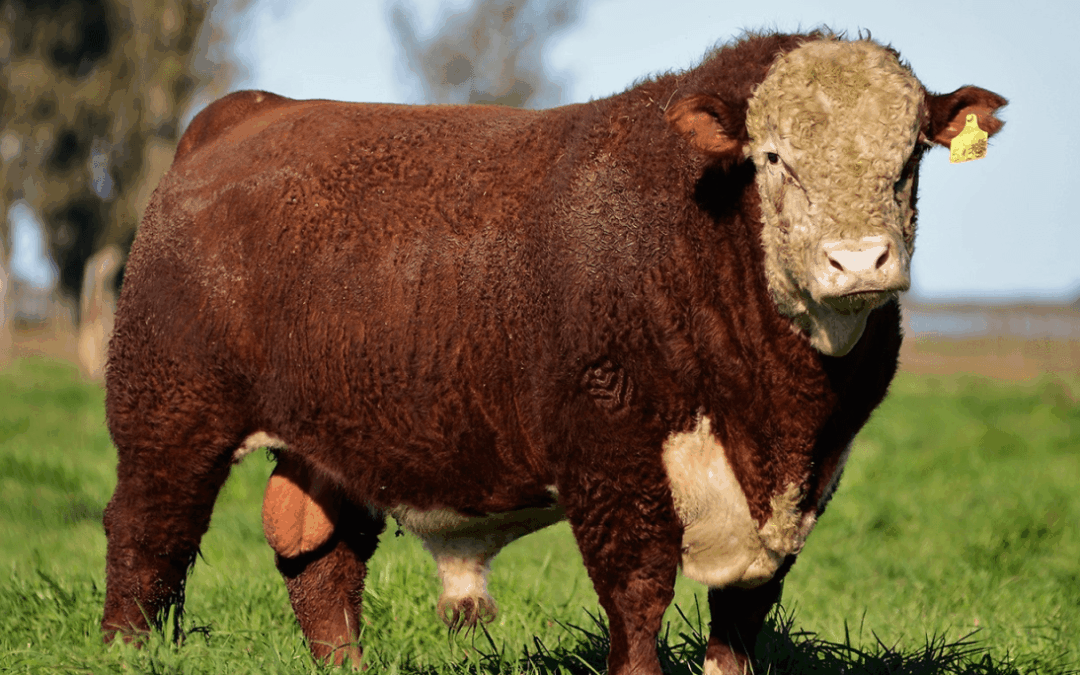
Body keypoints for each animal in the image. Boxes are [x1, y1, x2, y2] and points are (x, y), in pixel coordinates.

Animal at [101, 32, 1006, 675]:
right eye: (773, 155)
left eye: (911, 156)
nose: (859, 260)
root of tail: (247, 112)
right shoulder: (611, 454)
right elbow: (636, 597)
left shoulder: (799, 489)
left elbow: (741, 623)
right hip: (168, 412)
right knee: (146, 538)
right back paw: (122, 651)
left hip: (329, 437)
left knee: (318, 557)